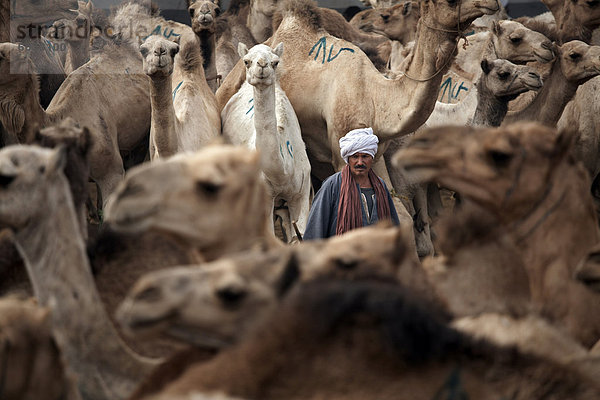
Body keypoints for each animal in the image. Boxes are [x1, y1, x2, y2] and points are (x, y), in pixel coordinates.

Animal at [223, 44, 312, 244]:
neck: (284, 171)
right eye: (246, 61)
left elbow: (300, 235)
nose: (262, 65)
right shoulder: (265, 197)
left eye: (275, 62)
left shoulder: (301, 194)